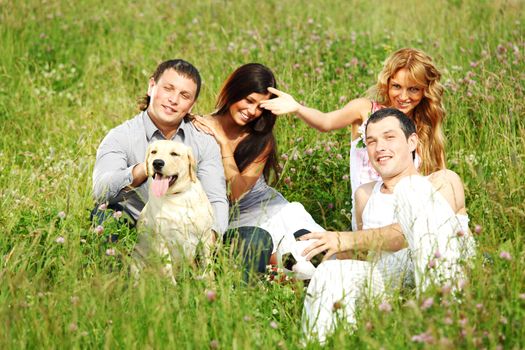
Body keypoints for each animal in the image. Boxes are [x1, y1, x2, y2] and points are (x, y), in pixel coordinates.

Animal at [132, 139, 214, 282]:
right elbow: (168, 272)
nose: (157, 163)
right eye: (154, 152)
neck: (176, 197)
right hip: (135, 260)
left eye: (174, 154)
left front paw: (211, 285)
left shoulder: (205, 237)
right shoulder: (160, 242)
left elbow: (208, 267)